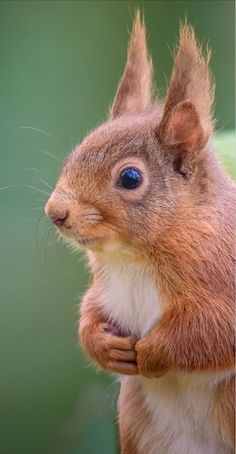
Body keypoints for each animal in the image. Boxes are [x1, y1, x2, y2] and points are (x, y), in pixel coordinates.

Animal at [45, 10, 235, 454]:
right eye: (77, 150)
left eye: (130, 178)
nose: (55, 211)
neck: (132, 257)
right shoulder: (105, 288)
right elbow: (91, 310)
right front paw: (100, 343)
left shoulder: (224, 277)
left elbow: (215, 331)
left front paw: (152, 352)